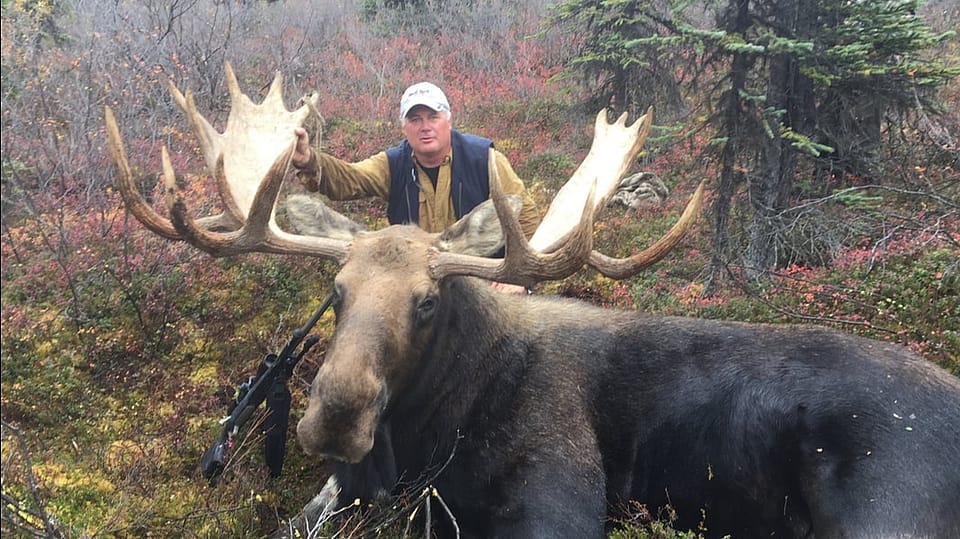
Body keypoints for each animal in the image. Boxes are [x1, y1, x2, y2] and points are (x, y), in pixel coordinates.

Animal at [105, 63, 960, 539]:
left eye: (427, 300)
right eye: (337, 291)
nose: (337, 415)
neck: (426, 437)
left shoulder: (561, 496)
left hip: (888, 505)